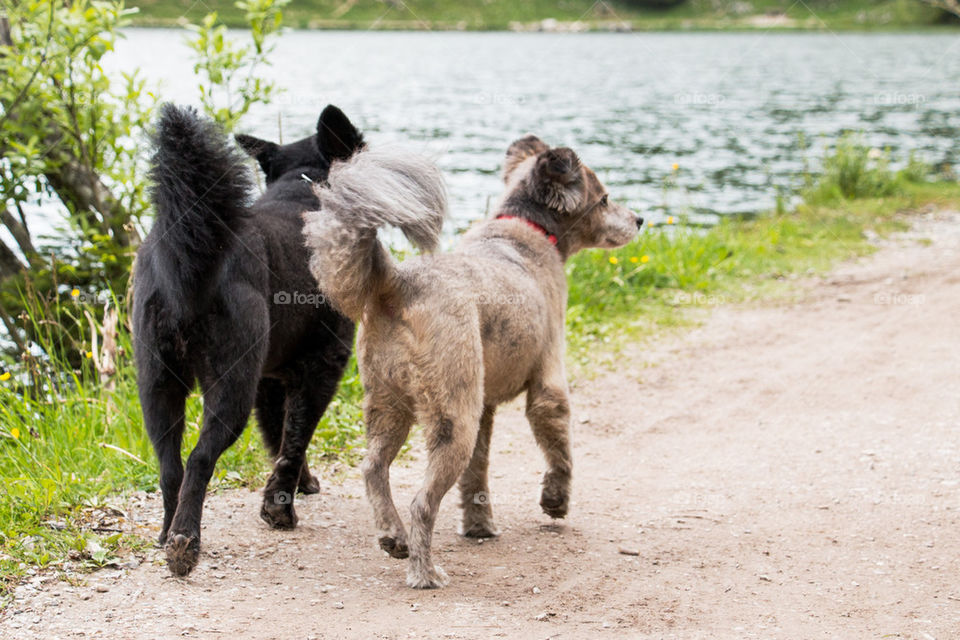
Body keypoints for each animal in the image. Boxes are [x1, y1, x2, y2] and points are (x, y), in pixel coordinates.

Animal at [131, 104, 364, 576]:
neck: (303, 187)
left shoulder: (270, 380)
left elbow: (280, 436)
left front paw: (300, 485)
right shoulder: (323, 366)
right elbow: (295, 438)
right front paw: (280, 508)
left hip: (158, 385)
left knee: (170, 466)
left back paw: (166, 533)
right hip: (229, 386)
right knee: (199, 460)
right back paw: (185, 542)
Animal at [304, 138, 640, 588]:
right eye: (603, 199)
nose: (639, 219)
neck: (526, 231)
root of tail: (397, 282)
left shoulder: (485, 407)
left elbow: (477, 473)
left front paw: (479, 525)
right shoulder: (549, 381)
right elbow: (561, 452)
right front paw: (555, 500)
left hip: (390, 403)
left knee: (373, 469)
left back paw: (394, 537)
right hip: (452, 416)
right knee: (422, 503)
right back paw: (425, 572)